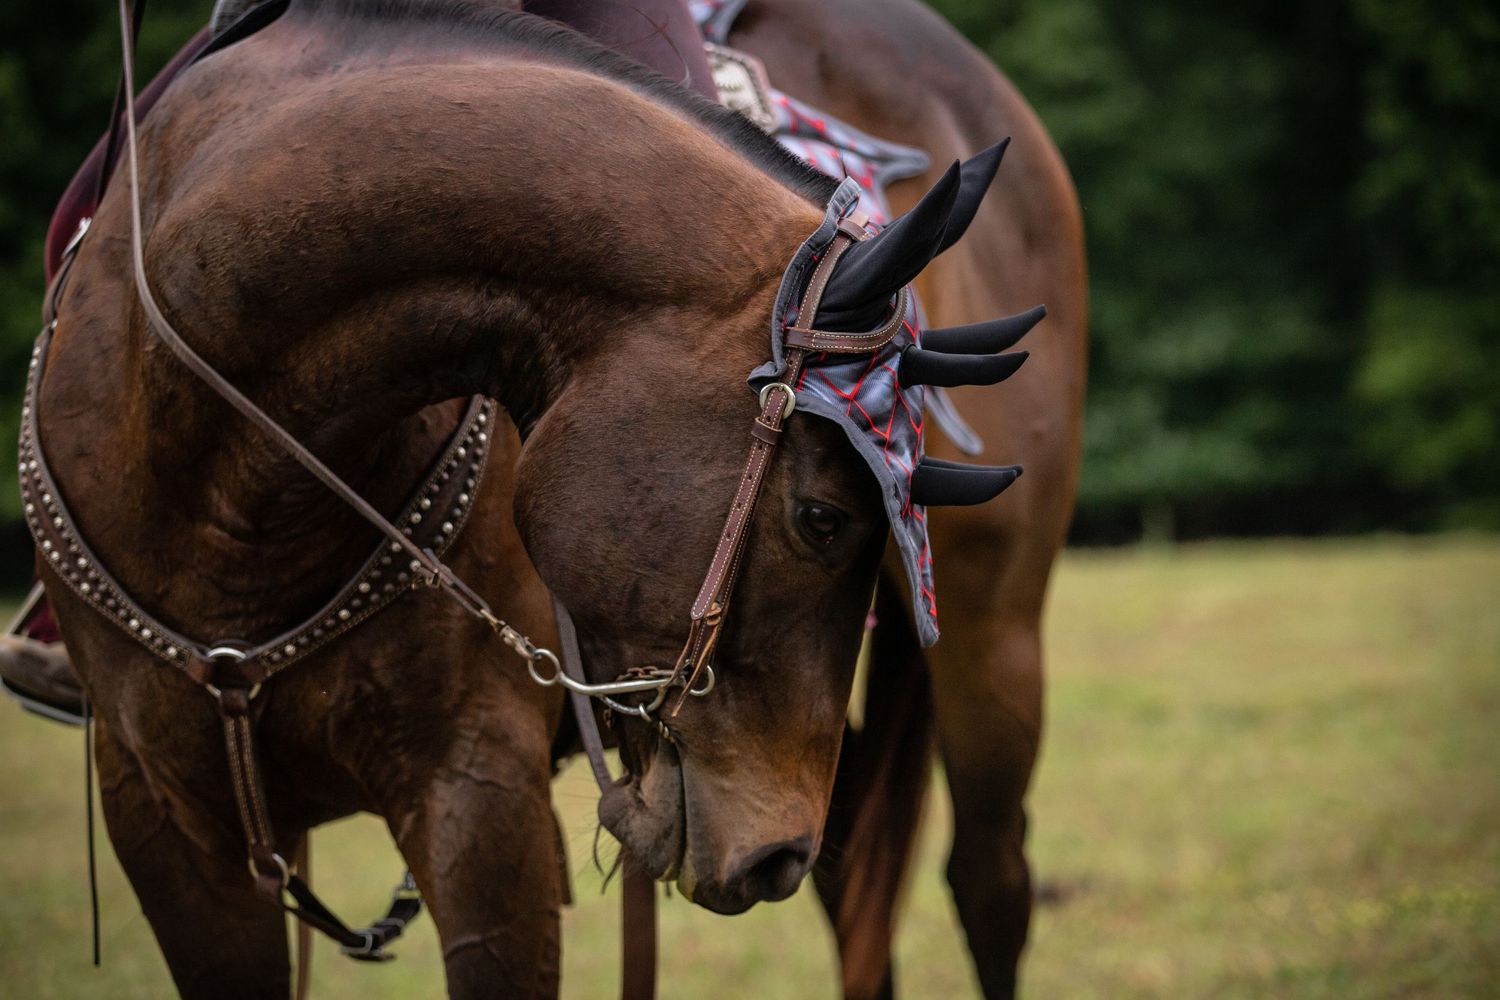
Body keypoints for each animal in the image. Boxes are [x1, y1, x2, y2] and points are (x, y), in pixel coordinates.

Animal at [29, 1, 1084, 996]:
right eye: (823, 518)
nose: (776, 851)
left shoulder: (479, 799)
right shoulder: (164, 820)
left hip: (995, 644)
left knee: (987, 882)